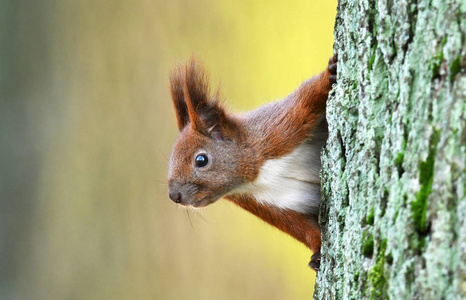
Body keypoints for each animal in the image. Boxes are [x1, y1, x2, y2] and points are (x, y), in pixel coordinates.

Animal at [167, 52, 338, 270]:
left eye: (201, 160)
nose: (174, 196)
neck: (256, 174)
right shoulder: (262, 204)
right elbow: (301, 227)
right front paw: (317, 251)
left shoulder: (280, 129)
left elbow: (308, 97)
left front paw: (329, 75)